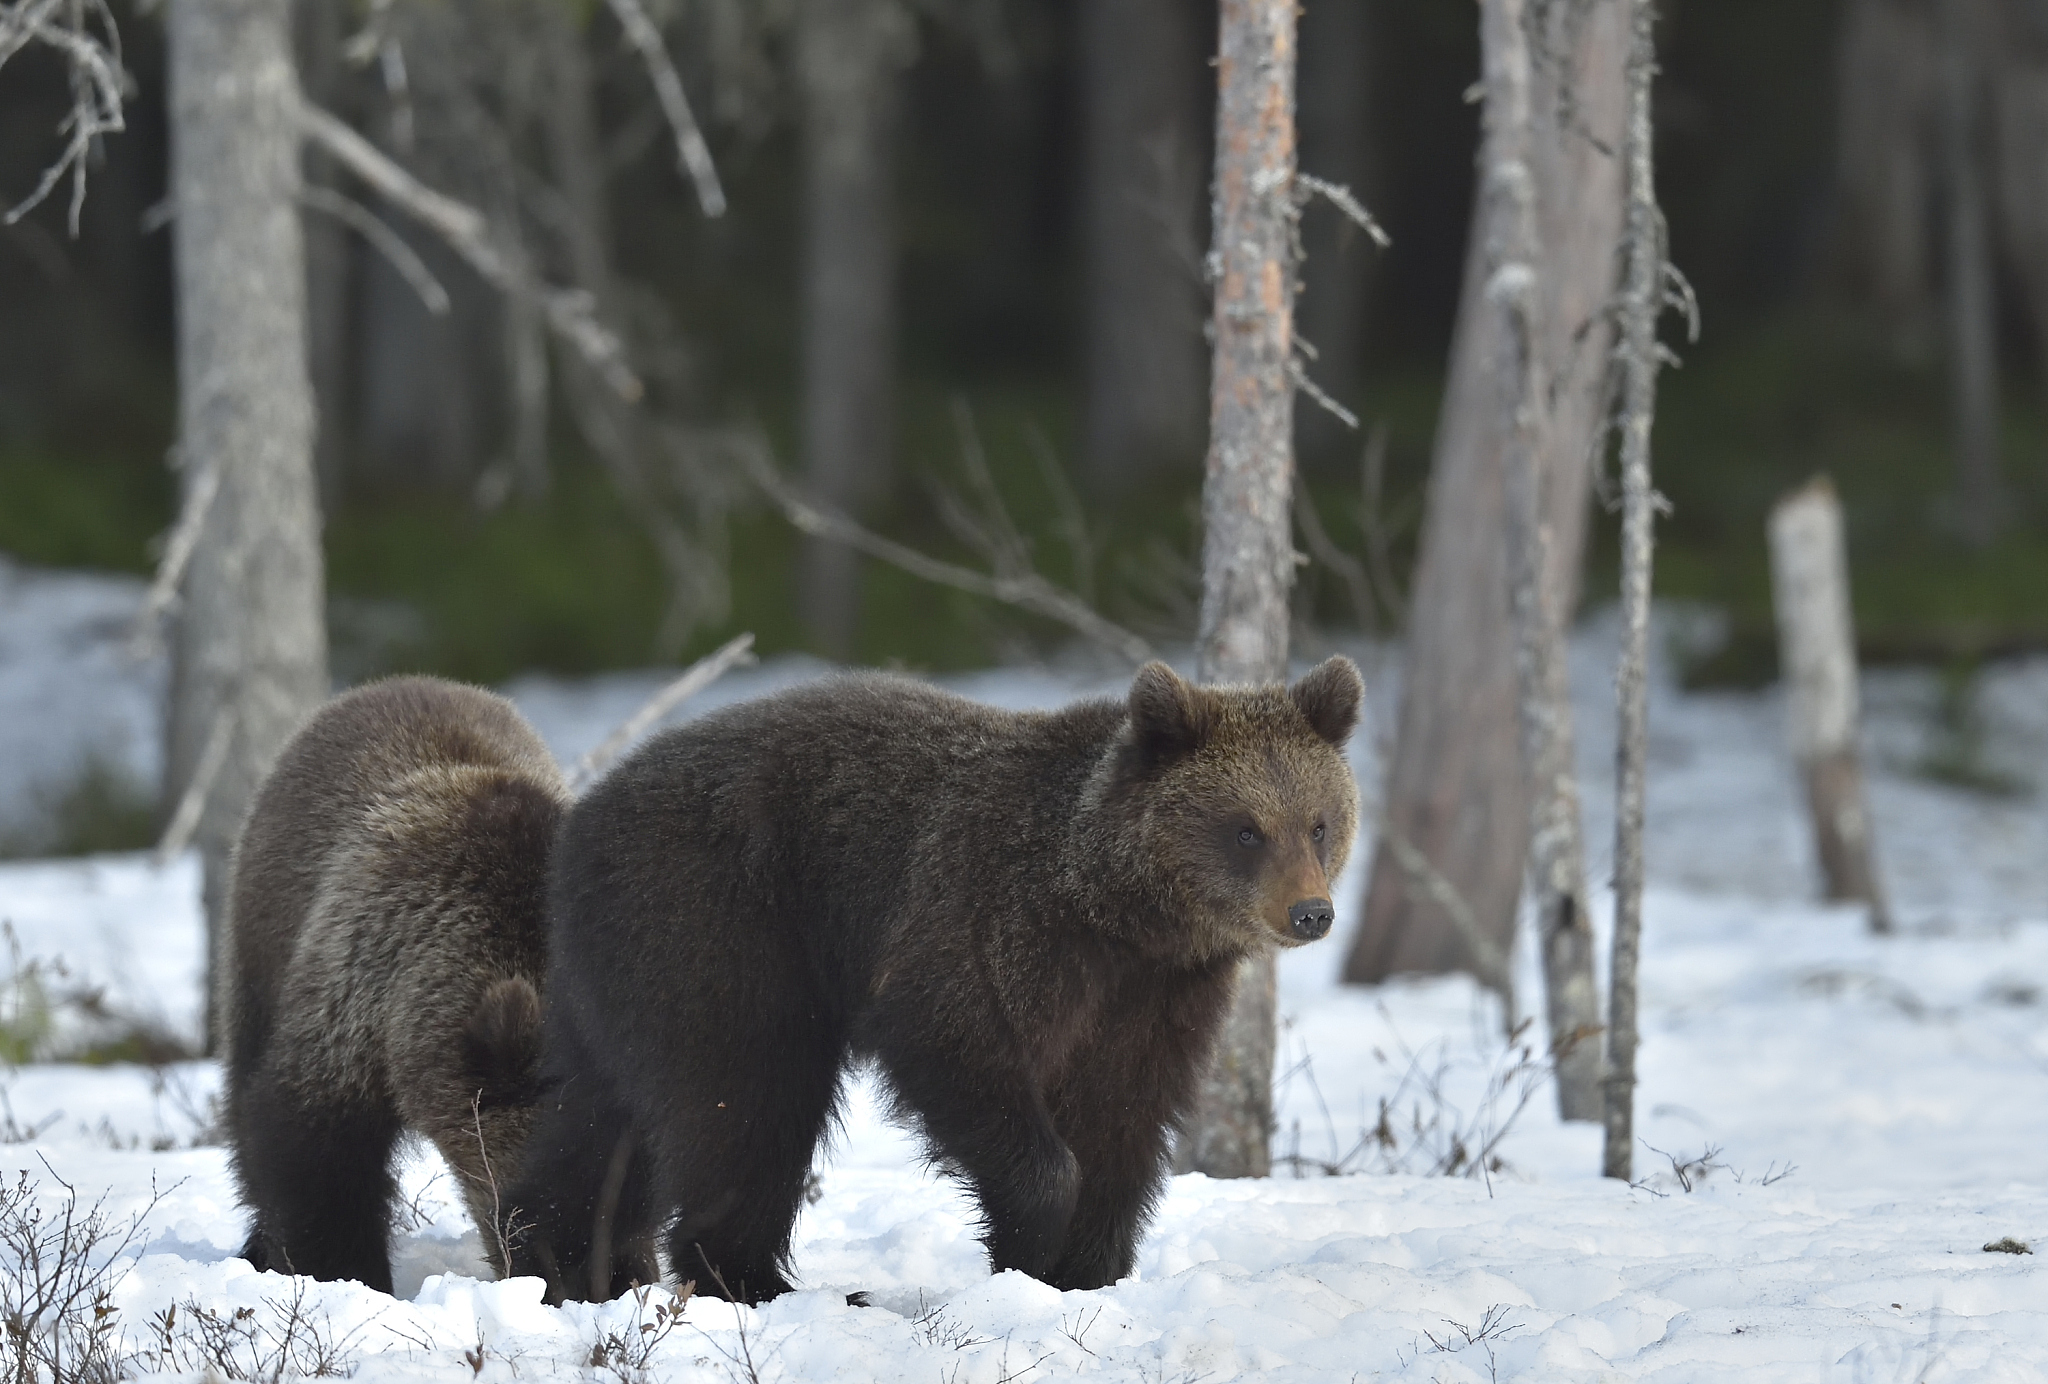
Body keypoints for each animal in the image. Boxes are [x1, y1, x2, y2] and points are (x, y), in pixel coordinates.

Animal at [223, 675, 655, 1295]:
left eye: (636, 1204)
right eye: (527, 1207)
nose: (590, 1287)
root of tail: (394, 684)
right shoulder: (359, 984)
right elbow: (311, 1147)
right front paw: (343, 1271)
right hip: (264, 937)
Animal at [504, 656, 1362, 1305]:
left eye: (1319, 822)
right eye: (1246, 829)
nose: (1311, 913)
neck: (1117, 909)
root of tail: (584, 812)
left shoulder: (1155, 996)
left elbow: (1125, 1118)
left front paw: (1089, 1269)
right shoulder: (988, 922)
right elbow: (959, 1052)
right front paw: (1032, 1242)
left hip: (614, 973)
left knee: (603, 1118)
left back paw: (557, 1257)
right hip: (722, 925)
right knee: (746, 1099)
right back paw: (743, 1278)